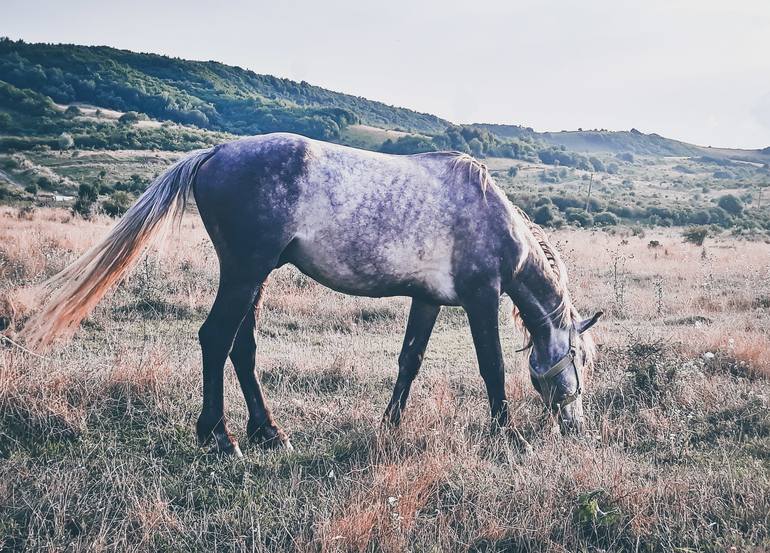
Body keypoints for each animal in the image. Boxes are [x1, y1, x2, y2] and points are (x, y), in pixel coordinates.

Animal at [22, 132, 600, 454]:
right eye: (582, 359)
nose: (573, 426)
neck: (490, 216)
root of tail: (214, 153)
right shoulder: (482, 298)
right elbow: (492, 367)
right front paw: (506, 433)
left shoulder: (428, 299)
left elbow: (409, 361)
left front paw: (389, 425)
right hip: (244, 273)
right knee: (216, 339)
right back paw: (220, 437)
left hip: (252, 277)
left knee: (242, 346)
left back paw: (267, 432)